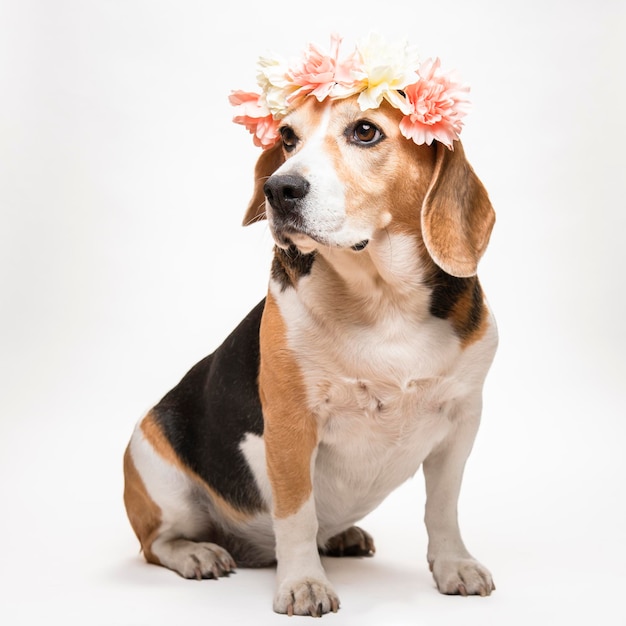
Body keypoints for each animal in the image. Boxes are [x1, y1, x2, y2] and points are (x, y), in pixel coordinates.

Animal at [122, 50, 494, 616]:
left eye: (365, 131)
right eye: (287, 137)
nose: (278, 188)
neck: (383, 302)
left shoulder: (462, 420)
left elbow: (443, 506)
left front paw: (454, 564)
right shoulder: (291, 424)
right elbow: (296, 513)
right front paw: (303, 584)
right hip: (154, 469)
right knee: (157, 543)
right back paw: (198, 554)